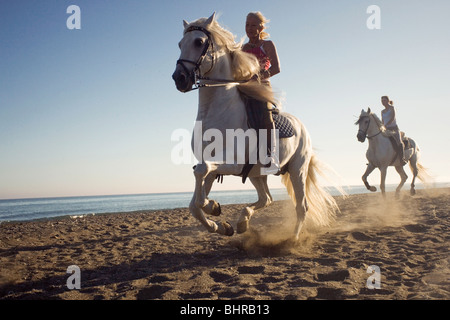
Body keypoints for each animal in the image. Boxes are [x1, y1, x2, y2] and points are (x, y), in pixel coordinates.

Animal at [171, 13, 340, 241]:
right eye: (180, 44)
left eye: (198, 42)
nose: (179, 78)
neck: (217, 112)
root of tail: (302, 126)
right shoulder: (213, 163)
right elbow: (194, 201)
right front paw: (219, 221)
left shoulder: (234, 163)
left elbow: (201, 174)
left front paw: (212, 206)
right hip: (257, 174)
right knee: (266, 199)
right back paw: (243, 222)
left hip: (297, 169)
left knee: (301, 206)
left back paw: (293, 240)